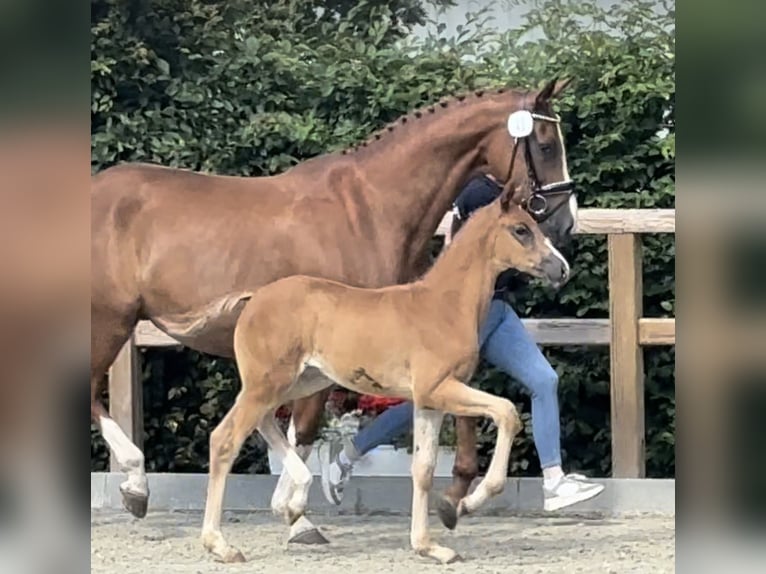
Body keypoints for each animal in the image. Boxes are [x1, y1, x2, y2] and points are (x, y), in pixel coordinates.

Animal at [201, 187, 572, 564]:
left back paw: (295, 502)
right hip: (268, 383)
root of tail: (254, 298)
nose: (562, 269)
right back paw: (221, 544)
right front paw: (468, 503)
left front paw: (429, 546)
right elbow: (508, 412)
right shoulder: (439, 389)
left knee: (262, 422)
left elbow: (423, 469)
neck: (445, 305)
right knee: (224, 439)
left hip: (299, 382)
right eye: (521, 230)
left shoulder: (429, 402)